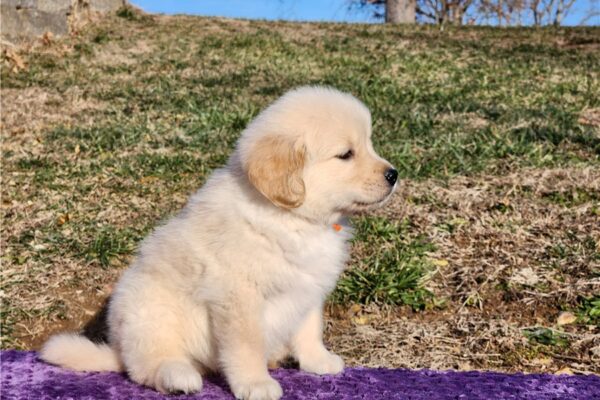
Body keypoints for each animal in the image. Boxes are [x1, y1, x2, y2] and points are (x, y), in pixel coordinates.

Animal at [42, 86, 398, 400]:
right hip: (150, 314)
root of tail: (117, 349)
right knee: (146, 367)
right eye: (346, 155)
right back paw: (178, 376)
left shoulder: (308, 291)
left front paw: (319, 361)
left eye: (368, 144)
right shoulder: (239, 298)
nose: (394, 174)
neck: (293, 220)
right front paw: (256, 384)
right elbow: (246, 346)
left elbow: (310, 331)